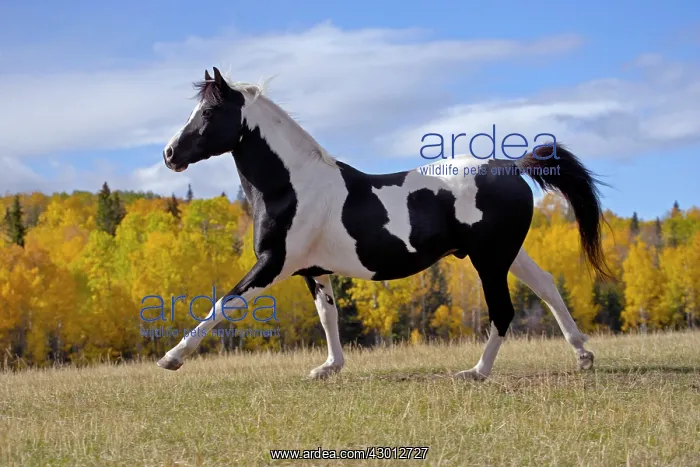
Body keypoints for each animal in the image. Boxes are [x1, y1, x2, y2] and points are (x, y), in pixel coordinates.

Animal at [157, 67, 613, 380]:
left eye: (210, 111)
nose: (169, 153)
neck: (293, 186)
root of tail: (511, 167)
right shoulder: (314, 271)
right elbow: (328, 316)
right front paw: (328, 368)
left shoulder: (273, 265)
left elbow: (223, 303)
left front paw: (171, 358)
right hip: (506, 254)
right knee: (547, 286)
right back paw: (582, 355)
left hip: (488, 261)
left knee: (503, 311)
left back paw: (476, 372)